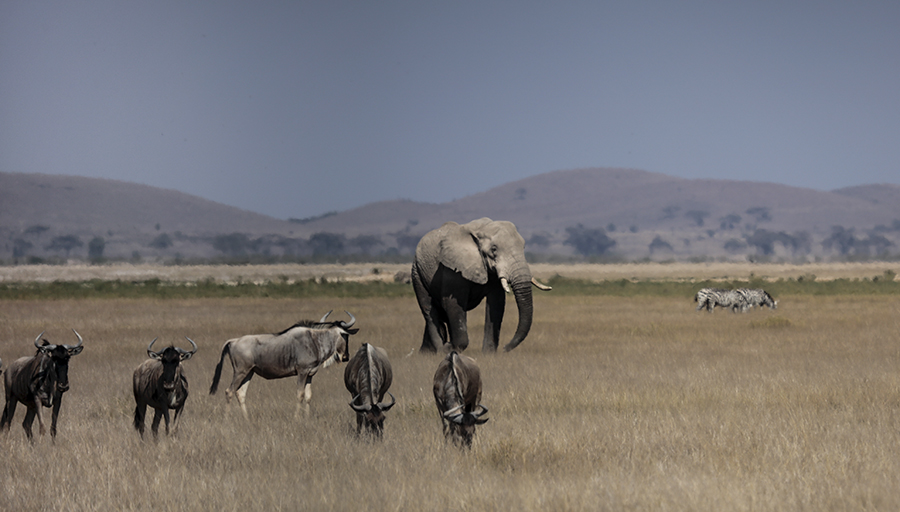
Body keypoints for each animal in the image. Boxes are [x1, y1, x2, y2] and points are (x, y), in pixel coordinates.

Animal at [414, 216, 552, 352]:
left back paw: (426, 351)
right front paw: (449, 348)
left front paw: (488, 354)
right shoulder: (452, 269)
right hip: (417, 272)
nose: (505, 348)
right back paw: (438, 349)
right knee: (428, 309)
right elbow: (452, 303)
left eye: (523, 248)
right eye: (494, 249)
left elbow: (496, 304)